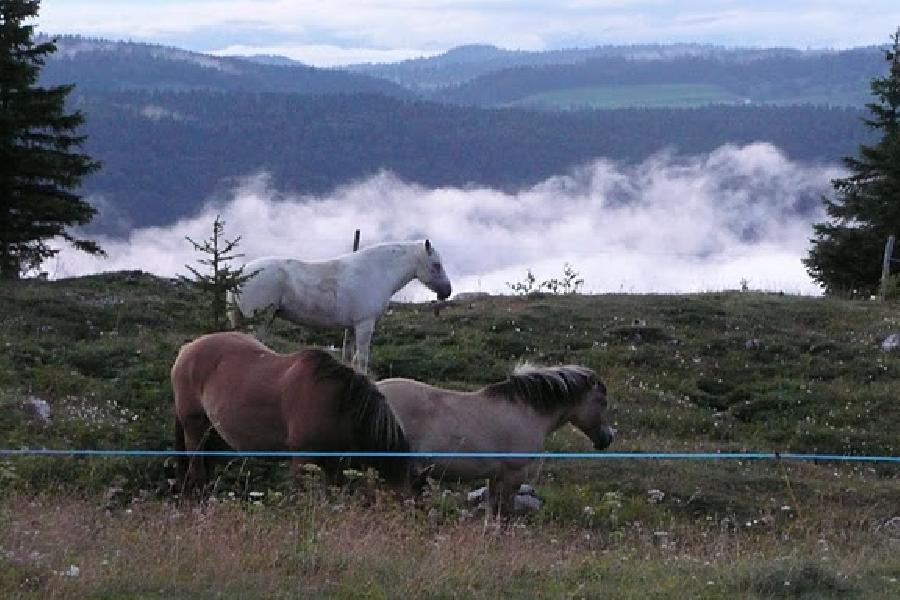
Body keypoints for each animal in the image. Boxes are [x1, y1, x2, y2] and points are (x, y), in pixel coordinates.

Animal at [171, 332, 408, 492]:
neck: (336, 402)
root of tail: (187, 349)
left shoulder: (334, 464)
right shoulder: (302, 458)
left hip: (213, 432)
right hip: (194, 428)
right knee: (197, 472)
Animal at [225, 240, 450, 372]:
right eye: (436, 265)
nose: (447, 291)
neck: (376, 271)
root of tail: (241, 274)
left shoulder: (350, 327)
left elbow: (349, 357)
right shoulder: (364, 325)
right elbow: (362, 360)